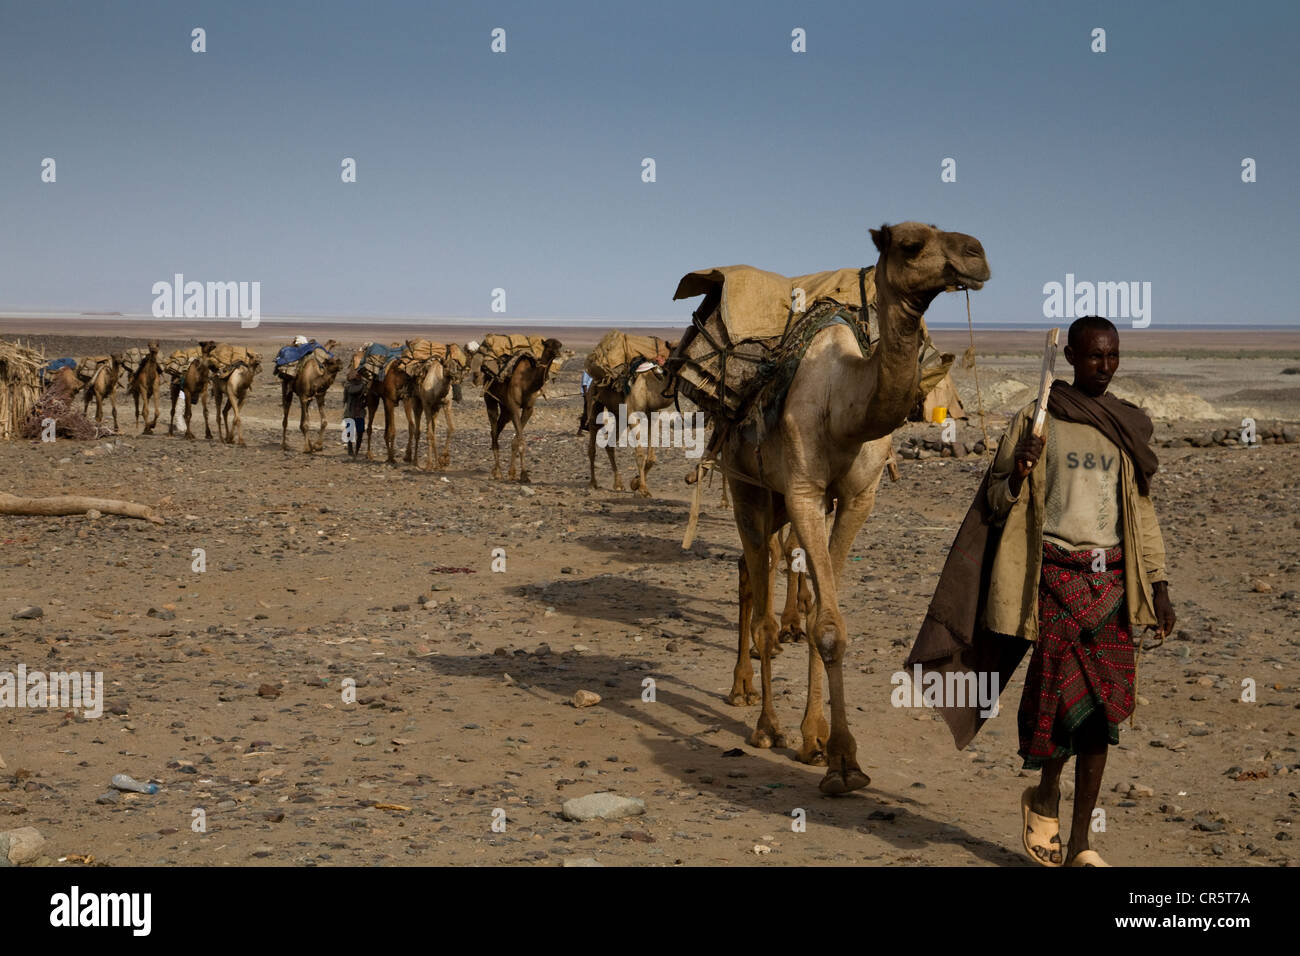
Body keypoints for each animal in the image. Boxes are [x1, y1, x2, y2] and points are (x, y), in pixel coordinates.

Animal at [480, 338, 556, 481]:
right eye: (548, 345)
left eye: (559, 345)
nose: (557, 352)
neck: (527, 381)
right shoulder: (514, 407)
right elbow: (520, 440)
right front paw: (524, 474)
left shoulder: (528, 409)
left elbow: (516, 440)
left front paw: (513, 472)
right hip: (490, 399)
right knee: (494, 431)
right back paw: (497, 472)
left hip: (505, 409)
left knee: (496, 430)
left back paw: (497, 470)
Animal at [585, 361, 676, 496]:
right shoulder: (632, 416)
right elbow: (640, 454)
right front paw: (643, 489)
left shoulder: (653, 414)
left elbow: (651, 458)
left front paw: (635, 483)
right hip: (594, 403)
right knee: (592, 442)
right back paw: (593, 483)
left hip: (620, 416)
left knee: (610, 445)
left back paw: (618, 484)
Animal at [722, 221, 982, 796]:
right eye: (910, 244)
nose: (977, 254)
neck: (843, 404)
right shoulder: (802, 491)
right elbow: (826, 626)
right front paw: (842, 760)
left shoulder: (858, 498)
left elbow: (826, 615)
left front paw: (817, 739)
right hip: (746, 486)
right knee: (755, 585)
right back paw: (761, 719)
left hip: (775, 501)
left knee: (756, 568)